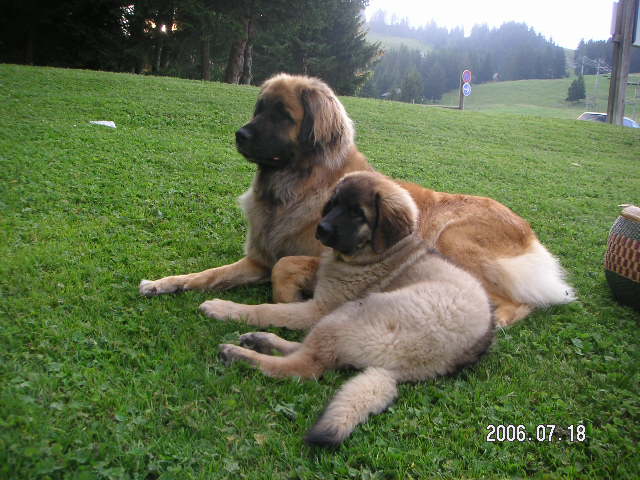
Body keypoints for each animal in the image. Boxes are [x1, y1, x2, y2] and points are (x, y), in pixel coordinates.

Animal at [141, 72, 576, 326]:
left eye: (283, 115)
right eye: (259, 108)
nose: (240, 135)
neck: (294, 188)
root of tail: (528, 232)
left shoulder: (324, 259)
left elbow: (285, 267)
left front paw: (287, 301)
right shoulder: (257, 259)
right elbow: (209, 274)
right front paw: (165, 283)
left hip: (454, 239)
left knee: (519, 301)